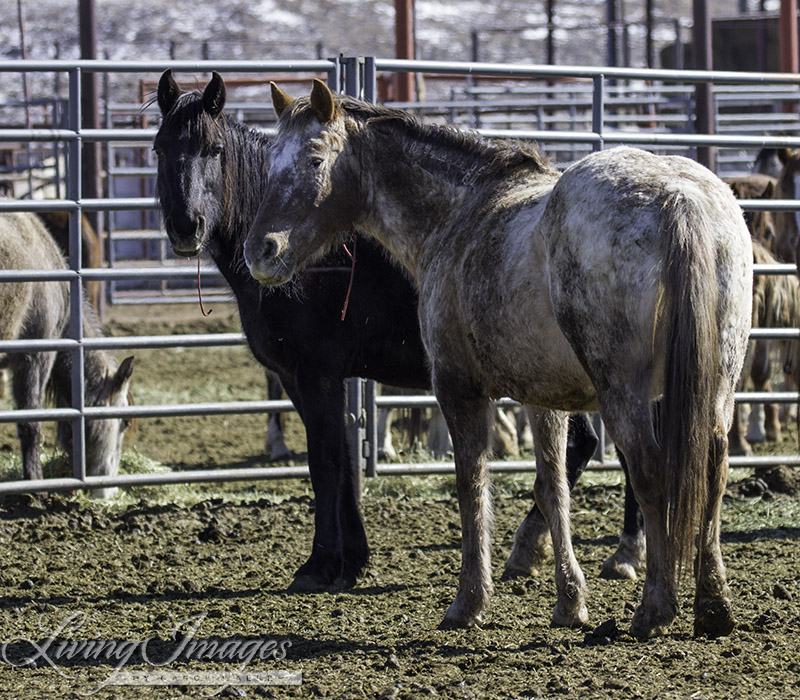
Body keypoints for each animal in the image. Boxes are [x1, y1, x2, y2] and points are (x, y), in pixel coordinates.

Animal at [155, 69, 644, 592]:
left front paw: (321, 563)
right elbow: (344, 462)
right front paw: (353, 559)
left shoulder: (315, 374)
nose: (186, 227)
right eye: (161, 149)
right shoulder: (300, 378)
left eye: (213, 150)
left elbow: (325, 461)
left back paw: (621, 550)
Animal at [242, 80, 752, 640]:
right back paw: (714, 603)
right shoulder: (545, 399)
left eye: (314, 159)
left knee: (650, 473)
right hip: (715, 389)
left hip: (626, 395)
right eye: (270, 161)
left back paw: (655, 607)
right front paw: (569, 601)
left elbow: (472, 485)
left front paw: (469, 601)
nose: (260, 250)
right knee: (713, 467)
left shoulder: (458, 388)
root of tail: (678, 198)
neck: (459, 214)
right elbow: (552, 488)